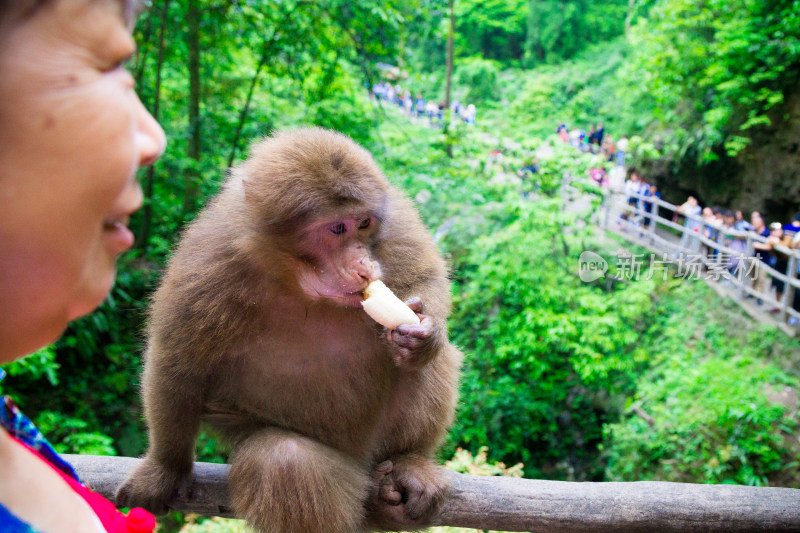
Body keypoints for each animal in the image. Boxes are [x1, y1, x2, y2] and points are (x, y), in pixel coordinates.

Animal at [113, 127, 462, 528]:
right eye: (337, 228)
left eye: (363, 224)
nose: (363, 266)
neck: (295, 278)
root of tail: (361, 461)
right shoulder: (207, 264)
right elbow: (178, 364)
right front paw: (165, 468)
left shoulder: (395, 220)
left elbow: (425, 276)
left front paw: (424, 335)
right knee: (284, 459)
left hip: (378, 444)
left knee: (432, 362)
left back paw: (409, 462)